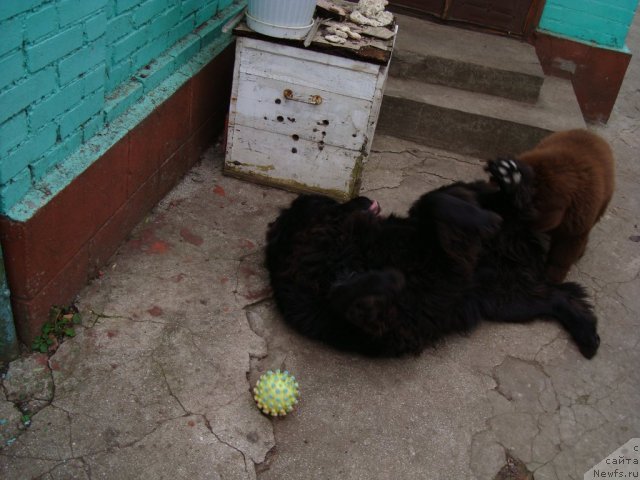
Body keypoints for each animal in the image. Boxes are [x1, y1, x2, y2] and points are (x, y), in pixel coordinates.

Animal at [264, 159, 600, 358]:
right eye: (335, 201)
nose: (364, 196)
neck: (340, 247)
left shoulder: (429, 240)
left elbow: (431, 203)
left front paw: (482, 220)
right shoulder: (364, 316)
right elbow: (344, 292)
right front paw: (387, 278)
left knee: (482, 199)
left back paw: (510, 180)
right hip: (506, 300)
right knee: (558, 299)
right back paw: (587, 334)